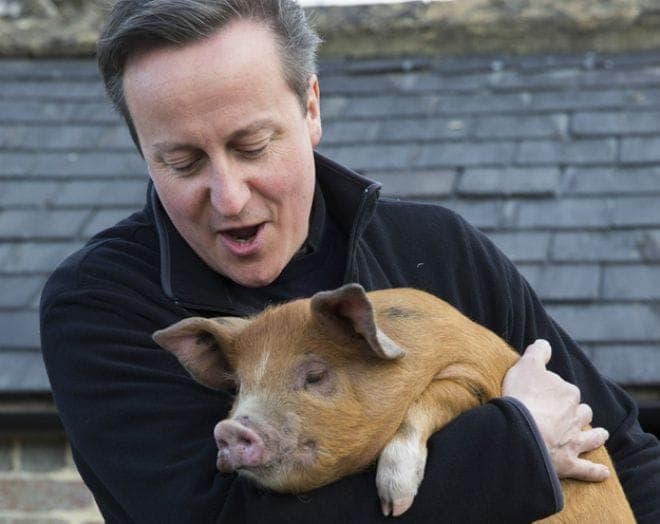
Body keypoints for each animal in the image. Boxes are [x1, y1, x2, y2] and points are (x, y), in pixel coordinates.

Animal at [153, 284, 635, 522]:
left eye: (315, 375)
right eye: (239, 386)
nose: (231, 428)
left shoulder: (470, 375)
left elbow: (428, 400)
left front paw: (394, 505)